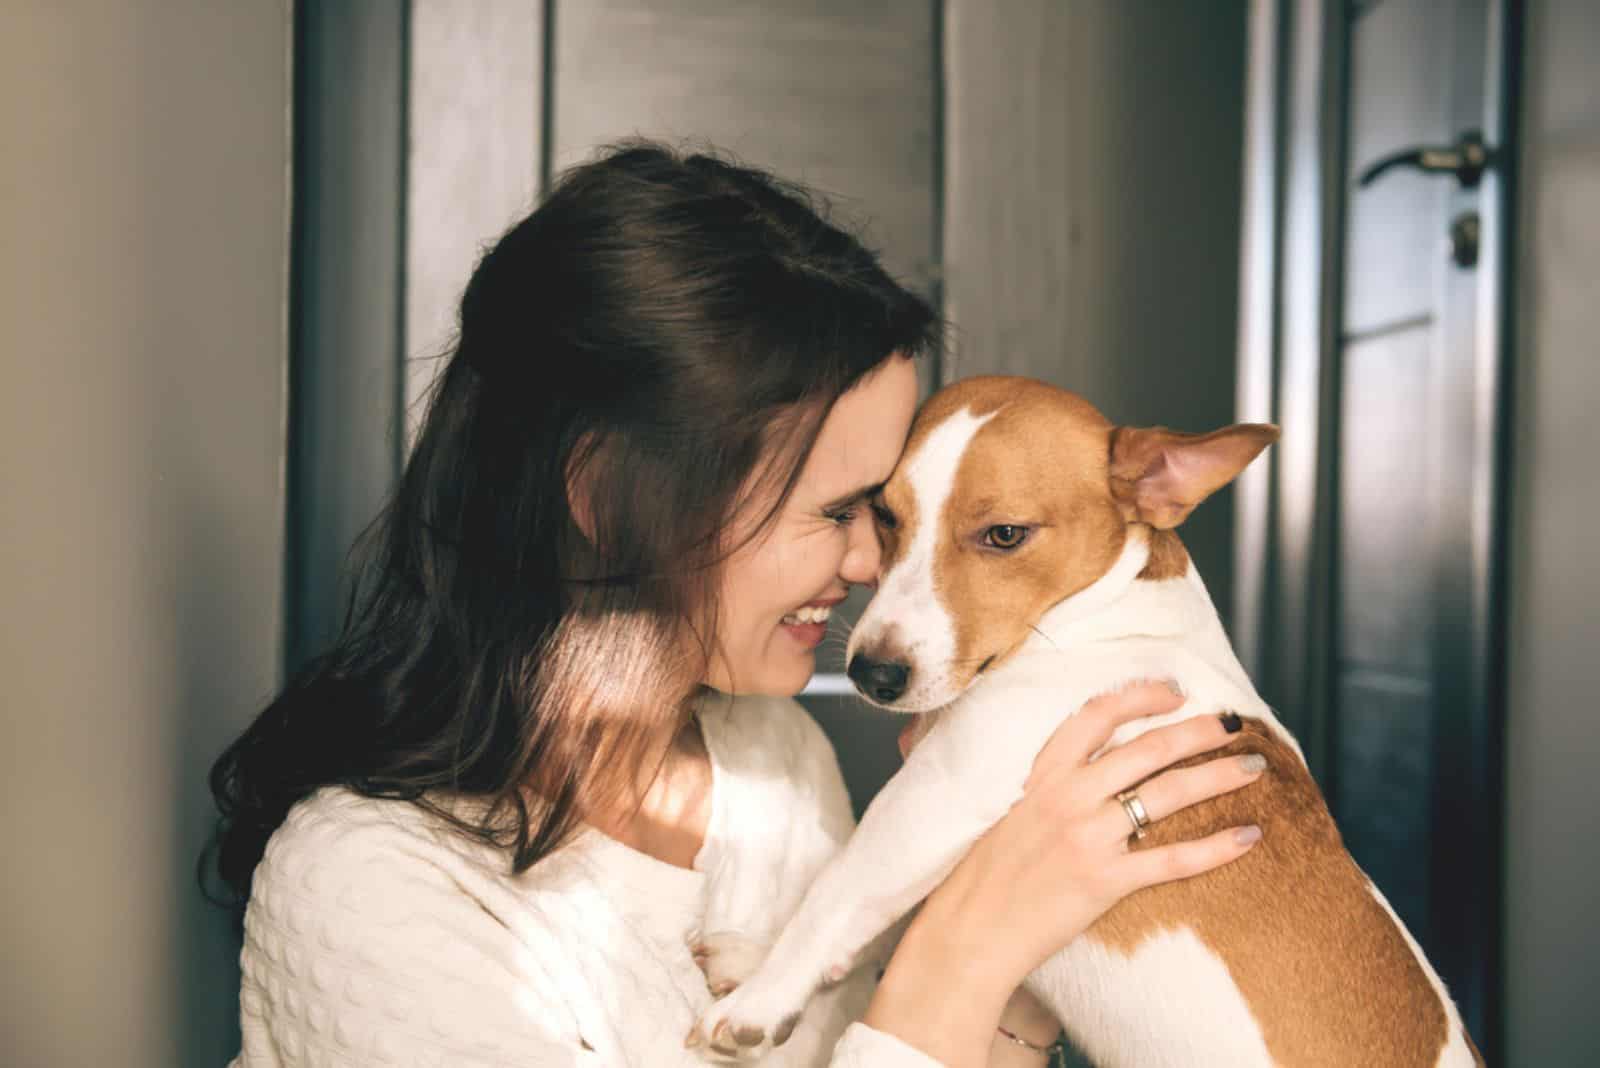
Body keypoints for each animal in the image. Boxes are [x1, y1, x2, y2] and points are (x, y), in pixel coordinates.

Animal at [694, 377, 1478, 1068]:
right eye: (884, 515)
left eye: (1005, 534)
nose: (872, 675)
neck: (1099, 619)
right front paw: (756, 961)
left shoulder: (939, 792)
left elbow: (837, 891)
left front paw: (761, 997)